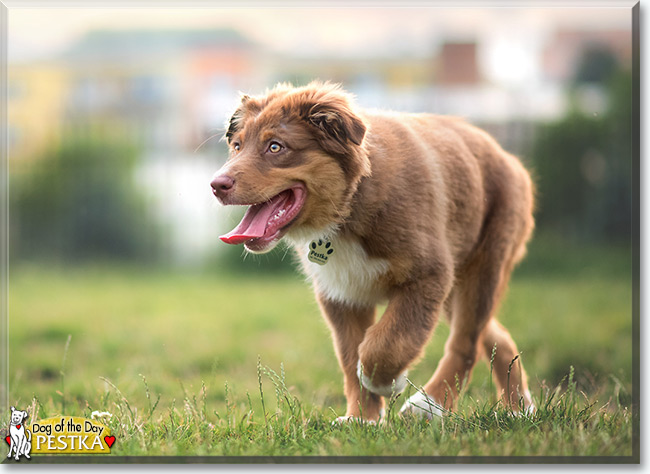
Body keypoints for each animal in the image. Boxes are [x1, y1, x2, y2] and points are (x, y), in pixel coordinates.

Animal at [210, 81, 536, 422]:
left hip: (485, 263)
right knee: (496, 336)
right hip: (454, 287)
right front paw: (362, 419)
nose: (216, 185)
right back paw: (519, 407)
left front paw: (386, 382)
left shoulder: (428, 274)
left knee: (466, 340)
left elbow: (387, 343)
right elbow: (350, 355)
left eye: (275, 147)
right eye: (237, 146)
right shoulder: (341, 293)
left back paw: (430, 404)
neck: (350, 203)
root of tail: (506, 155)